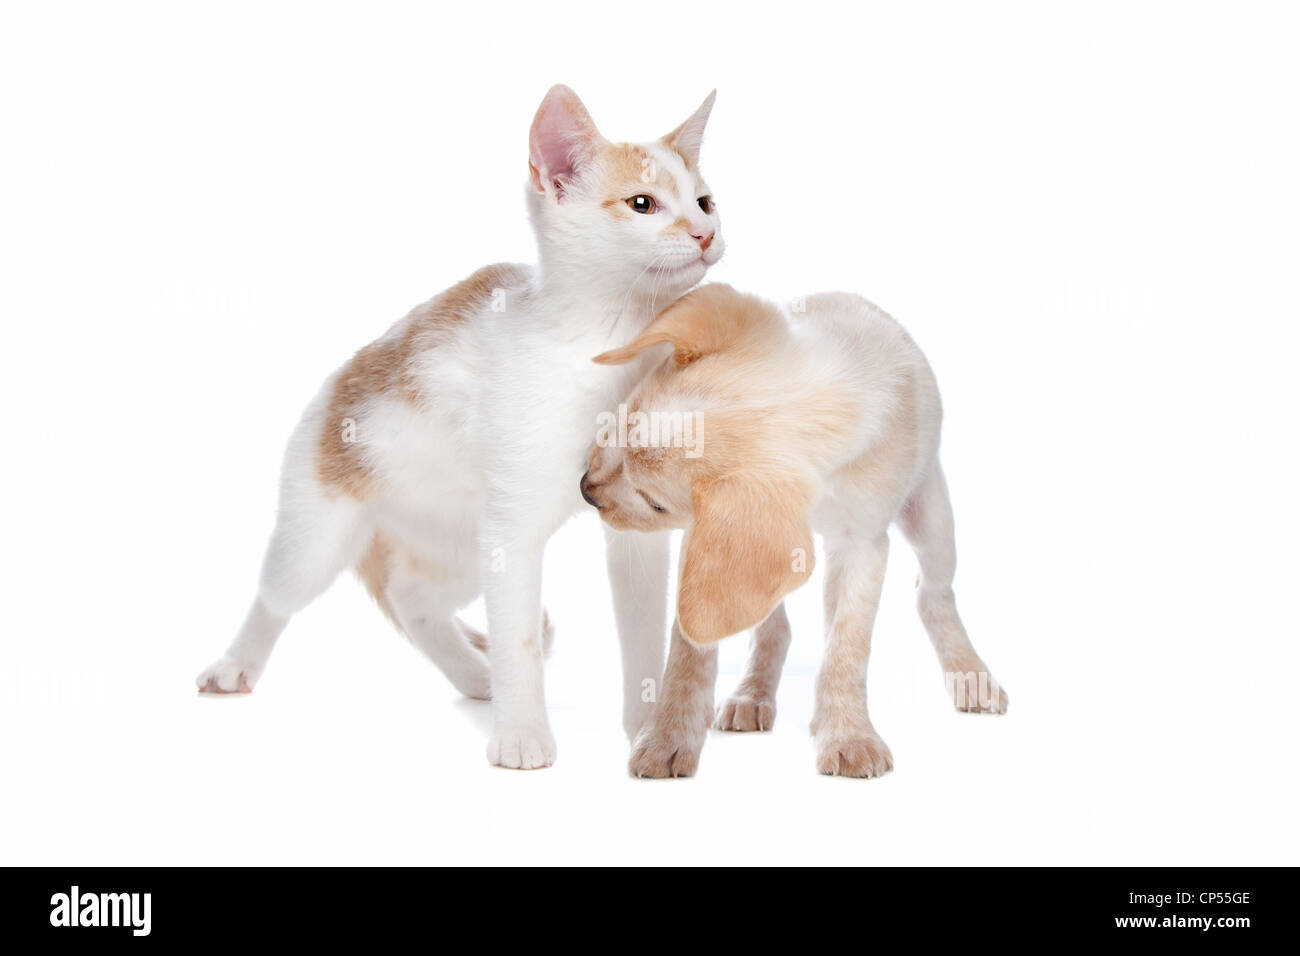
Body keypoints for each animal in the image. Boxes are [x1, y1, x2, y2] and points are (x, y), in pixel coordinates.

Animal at [193, 83, 728, 770]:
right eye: (643, 203)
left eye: (705, 200)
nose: (706, 232)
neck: (607, 340)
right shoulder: (513, 528)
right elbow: (518, 637)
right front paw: (523, 735)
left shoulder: (635, 525)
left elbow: (640, 630)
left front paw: (646, 724)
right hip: (321, 530)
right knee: (277, 594)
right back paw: (236, 665)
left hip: (459, 545)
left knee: (412, 600)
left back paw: (475, 675)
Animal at [585, 283, 1008, 780]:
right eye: (625, 417)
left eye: (655, 504)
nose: (586, 489)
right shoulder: (709, 540)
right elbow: (690, 649)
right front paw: (669, 735)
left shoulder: (862, 545)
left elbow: (846, 646)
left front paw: (848, 736)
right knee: (774, 626)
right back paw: (752, 695)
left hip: (933, 519)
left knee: (932, 592)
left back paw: (971, 677)